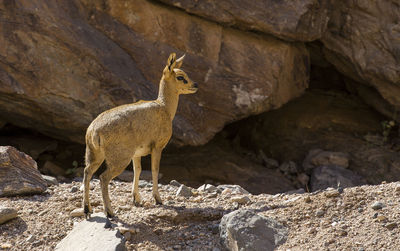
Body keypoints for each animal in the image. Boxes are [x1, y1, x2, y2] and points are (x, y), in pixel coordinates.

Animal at [83, 53, 198, 218]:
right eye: (180, 77)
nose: (195, 85)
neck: (165, 108)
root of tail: (94, 131)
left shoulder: (136, 153)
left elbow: (137, 170)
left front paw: (136, 199)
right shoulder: (157, 147)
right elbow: (155, 170)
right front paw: (158, 199)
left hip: (94, 155)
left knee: (87, 172)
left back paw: (87, 210)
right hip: (118, 158)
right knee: (103, 178)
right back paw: (109, 212)